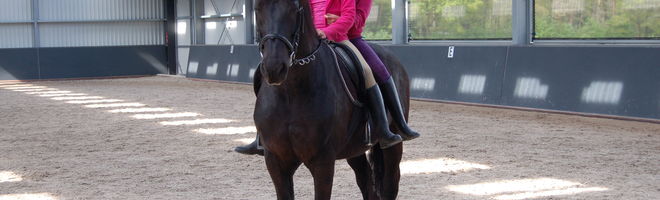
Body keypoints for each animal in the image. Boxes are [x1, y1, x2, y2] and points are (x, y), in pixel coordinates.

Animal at [255, 0, 410, 199]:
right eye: (257, 8)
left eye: (294, 8)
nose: (274, 67)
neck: (291, 94)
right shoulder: (275, 161)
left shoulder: (323, 161)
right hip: (354, 149)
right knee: (367, 183)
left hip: (393, 144)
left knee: (390, 183)